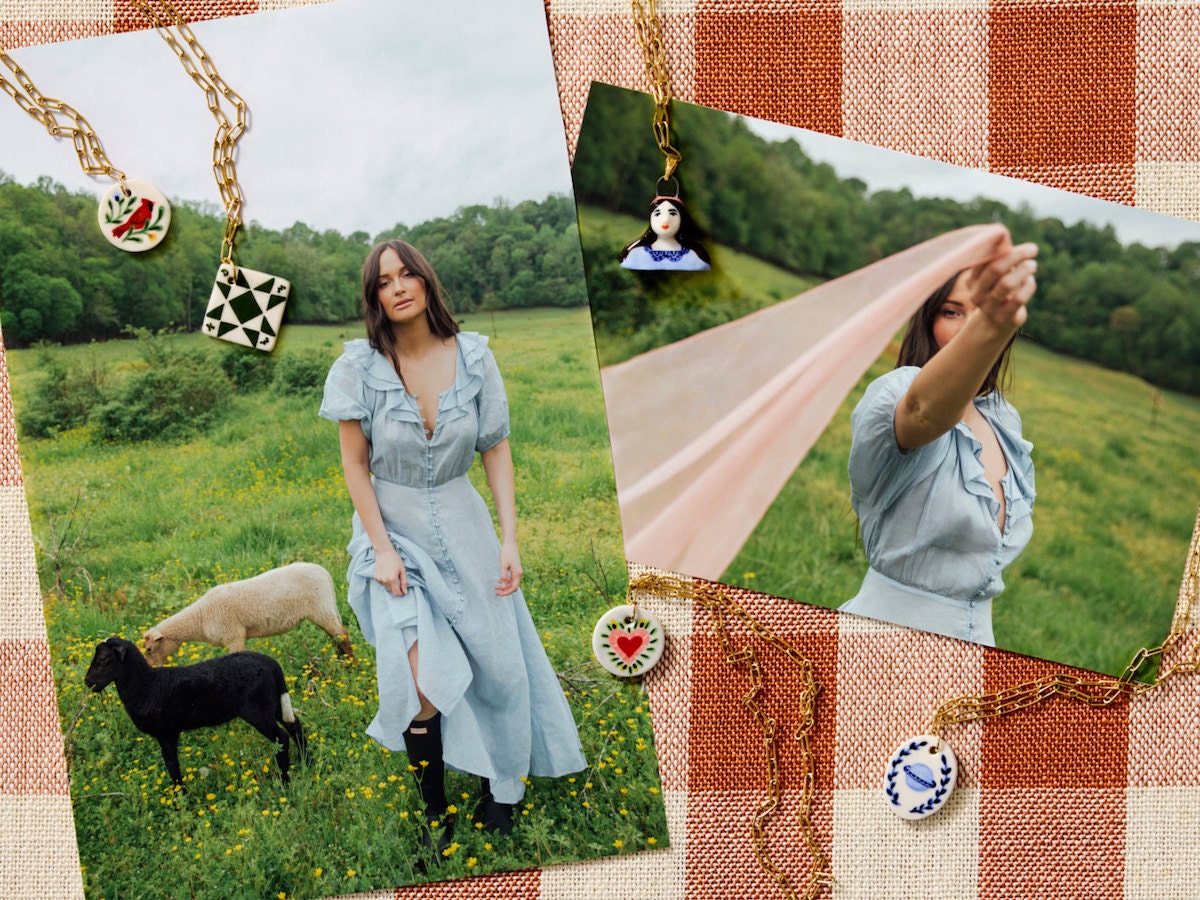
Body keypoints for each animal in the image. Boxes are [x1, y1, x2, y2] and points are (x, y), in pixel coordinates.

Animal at [84, 633, 307, 787]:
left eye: (103, 659)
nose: (87, 681)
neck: (147, 685)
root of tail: (272, 664)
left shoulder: (166, 733)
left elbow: (172, 766)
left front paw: (180, 799)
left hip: (257, 710)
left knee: (281, 737)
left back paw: (284, 781)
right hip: (275, 703)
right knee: (295, 727)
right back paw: (307, 762)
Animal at [143, 566, 352, 667]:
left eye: (149, 649)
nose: (154, 668)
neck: (200, 617)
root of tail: (324, 573)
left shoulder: (233, 636)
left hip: (321, 608)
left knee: (342, 634)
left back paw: (351, 665)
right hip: (326, 608)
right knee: (336, 637)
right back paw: (342, 661)